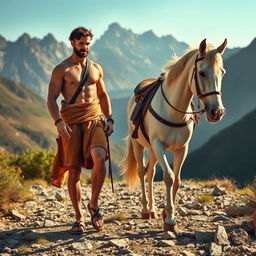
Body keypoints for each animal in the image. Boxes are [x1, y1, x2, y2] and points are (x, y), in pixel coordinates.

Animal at [121, 38, 227, 234]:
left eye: (222, 72)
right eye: (201, 73)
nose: (217, 112)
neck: (174, 110)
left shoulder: (181, 149)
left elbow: (177, 181)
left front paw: (165, 212)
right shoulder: (159, 146)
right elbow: (169, 177)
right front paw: (170, 220)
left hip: (152, 151)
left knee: (150, 173)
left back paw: (153, 209)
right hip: (139, 145)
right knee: (141, 172)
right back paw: (145, 209)